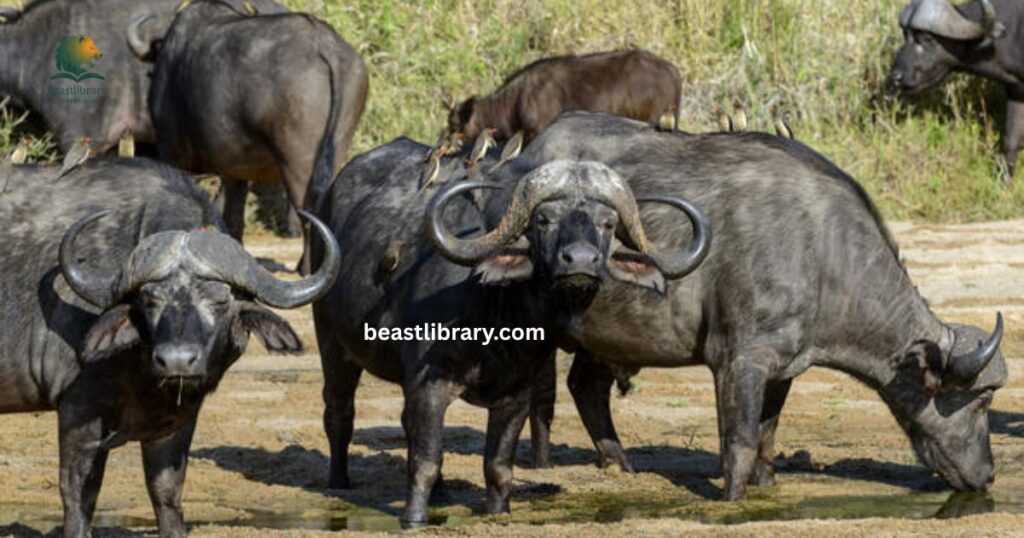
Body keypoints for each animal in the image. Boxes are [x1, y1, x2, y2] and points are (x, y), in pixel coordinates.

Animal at [135, 0, 368, 242]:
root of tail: (325, 44)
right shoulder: (235, 171)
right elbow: (232, 218)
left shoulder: (171, 150)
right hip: (335, 149)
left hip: (300, 163)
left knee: (310, 218)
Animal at [309, 137, 709, 524]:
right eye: (543, 220)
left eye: (608, 224)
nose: (580, 261)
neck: (496, 317)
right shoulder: (428, 385)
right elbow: (425, 461)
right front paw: (414, 519)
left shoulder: (517, 393)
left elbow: (498, 466)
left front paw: (498, 513)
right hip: (332, 342)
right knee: (339, 410)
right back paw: (338, 481)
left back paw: (442, 494)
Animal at [497, 112, 1006, 501]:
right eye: (982, 400)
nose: (987, 475)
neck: (821, 253)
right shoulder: (738, 361)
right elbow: (738, 438)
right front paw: (733, 496)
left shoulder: (783, 367)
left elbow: (767, 431)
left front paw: (766, 482)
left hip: (609, 334)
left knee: (586, 386)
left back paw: (619, 464)